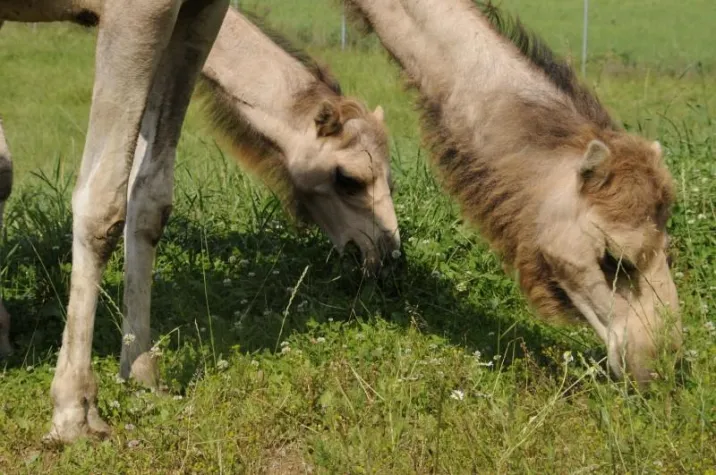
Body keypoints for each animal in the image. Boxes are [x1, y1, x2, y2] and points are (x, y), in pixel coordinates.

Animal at [0, 3, 399, 442]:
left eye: (390, 177)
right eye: (348, 179)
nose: (384, 250)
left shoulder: (197, 13)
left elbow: (150, 199)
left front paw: (143, 376)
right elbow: (99, 204)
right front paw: (74, 414)